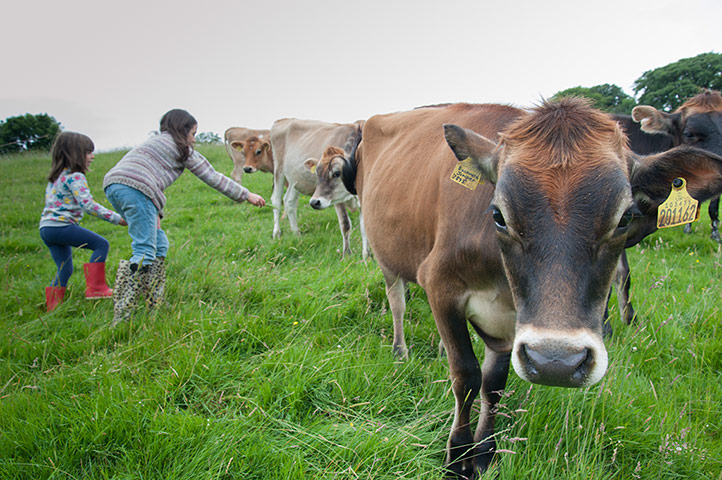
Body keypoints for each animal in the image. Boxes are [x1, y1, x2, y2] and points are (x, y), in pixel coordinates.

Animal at [269, 118, 365, 257]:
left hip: (296, 180)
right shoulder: (337, 199)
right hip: (278, 170)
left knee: (289, 201)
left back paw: (296, 233)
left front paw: (366, 256)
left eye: (337, 173)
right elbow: (345, 225)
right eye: (317, 174)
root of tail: (283, 120)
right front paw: (347, 254)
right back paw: (276, 233)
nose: (315, 202)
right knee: (276, 200)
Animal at [349, 99, 722, 478]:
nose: (558, 363)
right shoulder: (439, 285)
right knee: (397, 301)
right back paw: (400, 350)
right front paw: (457, 459)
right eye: (498, 215)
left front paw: (484, 454)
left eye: (625, 218)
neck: (501, 281)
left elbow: (493, 385)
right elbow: (466, 377)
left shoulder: (511, 327)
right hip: (386, 254)